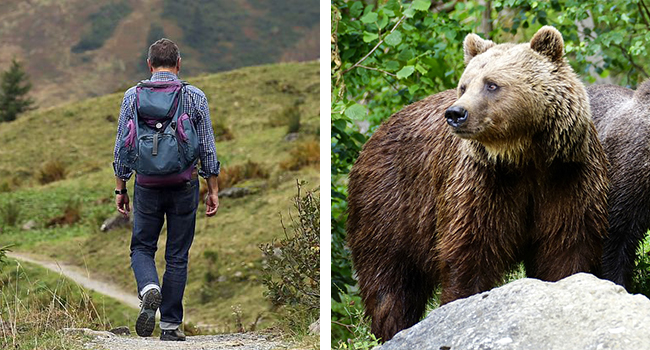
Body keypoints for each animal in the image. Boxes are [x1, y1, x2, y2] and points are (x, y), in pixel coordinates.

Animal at [346, 26, 604, 342]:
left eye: (491, 84)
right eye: (464, 85)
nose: (455, 113)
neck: (524, 157)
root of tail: (374, 136)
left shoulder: (567, 178)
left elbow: (567, 248)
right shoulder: (482, 185)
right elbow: (471, 253)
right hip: (389, 205)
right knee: (389, 283)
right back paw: (391, 330)